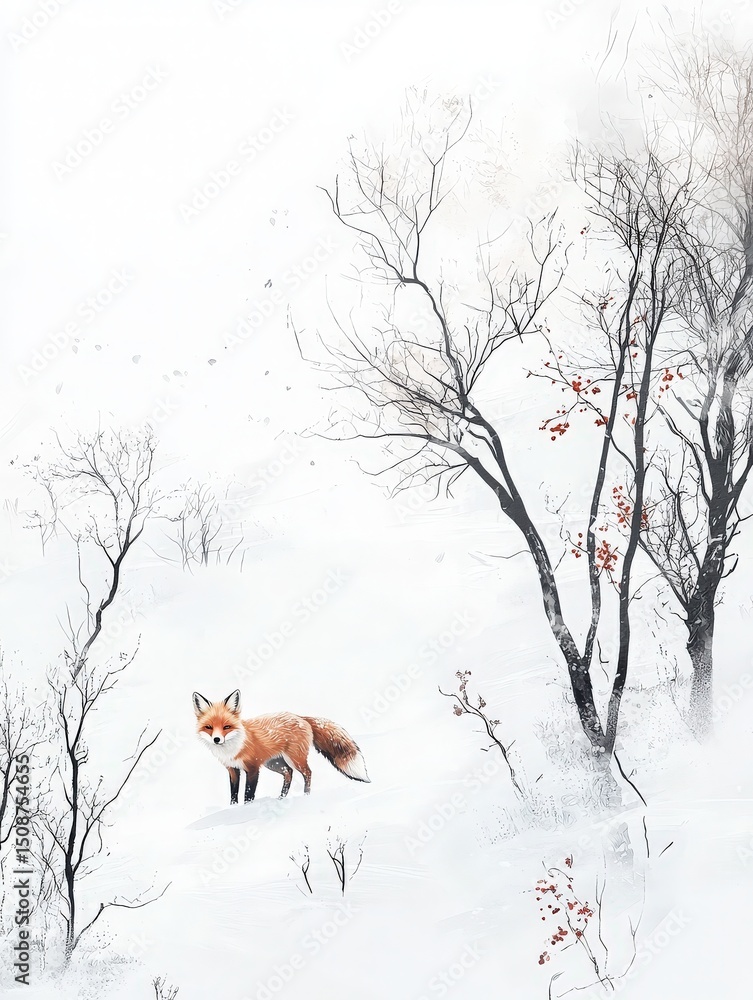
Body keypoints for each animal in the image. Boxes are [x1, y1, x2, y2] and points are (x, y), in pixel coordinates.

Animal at [192, 689, 370, 804]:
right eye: (209, 727)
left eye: (227, 727)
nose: (217, 739)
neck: (233, 747)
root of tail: (300, 716)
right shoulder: (232, 769)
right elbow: (233, 794)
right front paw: (233, 809)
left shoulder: (253, 768)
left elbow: (248, 794)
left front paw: (247, 808)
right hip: (274, 763)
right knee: (288, 773)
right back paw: (281, 798)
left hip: (294, 759)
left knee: (307, 773)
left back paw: (306, 796)